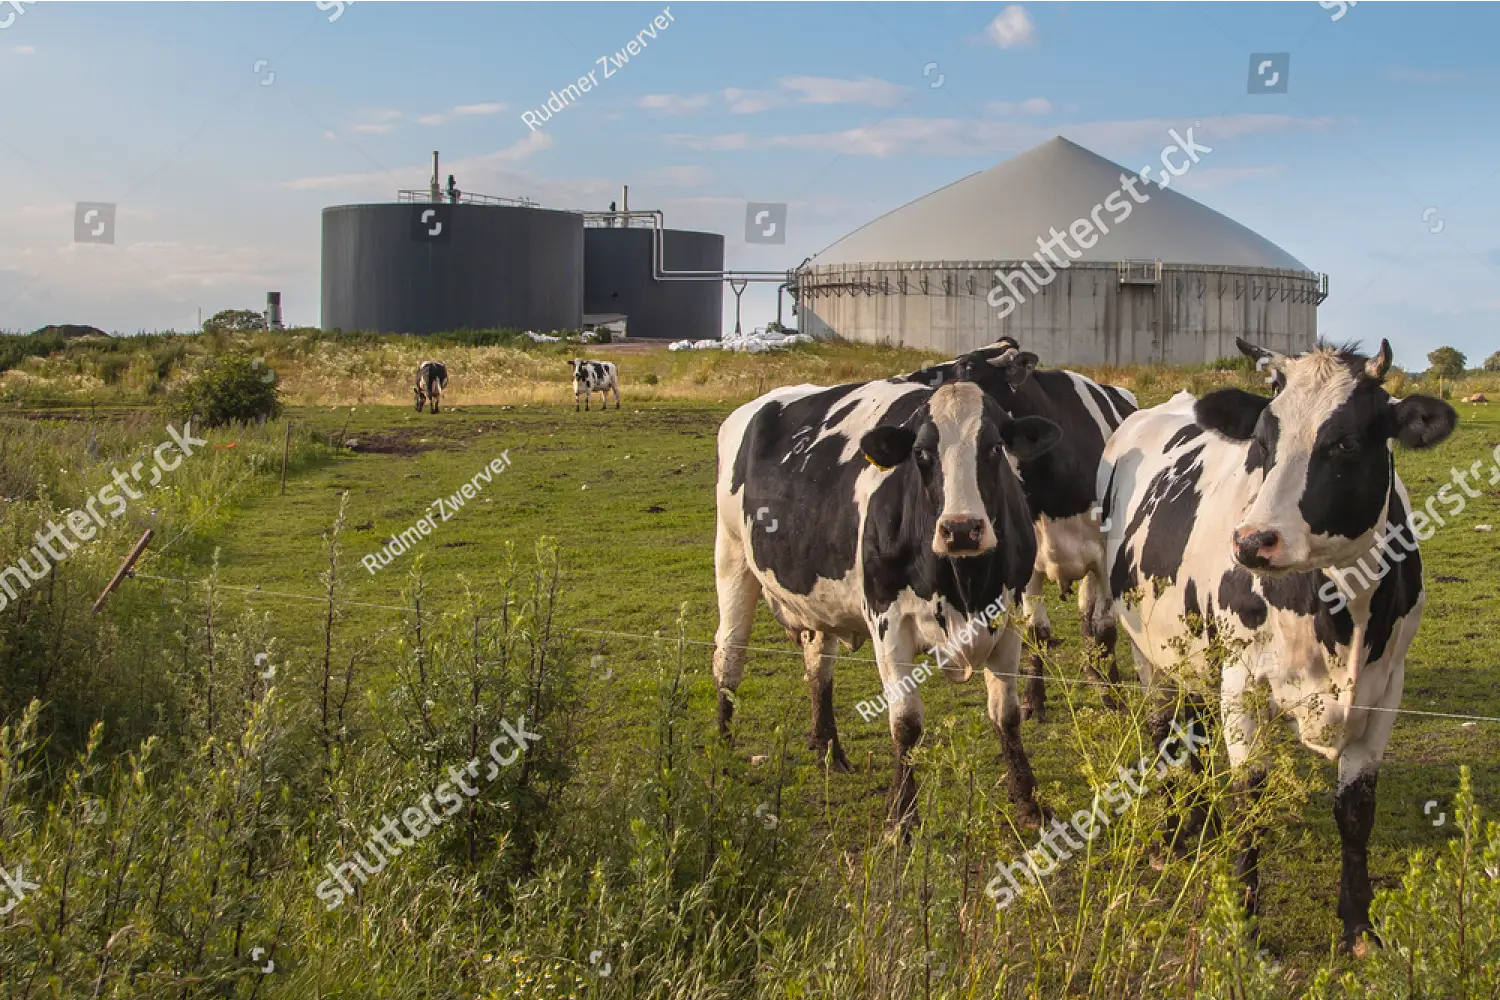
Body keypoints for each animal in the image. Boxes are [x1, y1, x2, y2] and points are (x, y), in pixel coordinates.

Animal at [711, 377, 1056, 827]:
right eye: (921, 453)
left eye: (995, 447)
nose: (962, 529)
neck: (963, 585)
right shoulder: (887, 622)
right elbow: (905, 723)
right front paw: (901, 818)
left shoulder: (1008, 619)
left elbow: (1007, 716)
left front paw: (1029, 802)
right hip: (732, 555)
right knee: (729, 656)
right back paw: (722, 749)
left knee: (818, 666)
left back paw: (828, 751)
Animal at [1098, 338, 1458, 953]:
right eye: (1263, 443)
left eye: (1345, 443)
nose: (1252, 541)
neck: (1339, 618)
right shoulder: (1243, 683)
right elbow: (1251, 799)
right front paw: (1245, 924)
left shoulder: (1386, 689)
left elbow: (1356, 810)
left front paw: (1359, 925)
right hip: (1150, 652)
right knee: (1164, 732)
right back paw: (1172, 837)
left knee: (1191, 730)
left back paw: (1200, 822)